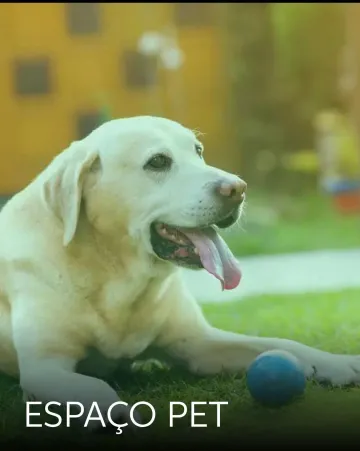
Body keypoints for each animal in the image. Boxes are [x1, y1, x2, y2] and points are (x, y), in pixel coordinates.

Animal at [0, 115, 360, 430]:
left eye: (198, 151)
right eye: (158, 162)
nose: (238, 188)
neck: (116, 275)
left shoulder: (199, 343)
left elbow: (283, 343)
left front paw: (337, 362)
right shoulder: (45, 368)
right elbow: (95, 389)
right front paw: (118, 414)